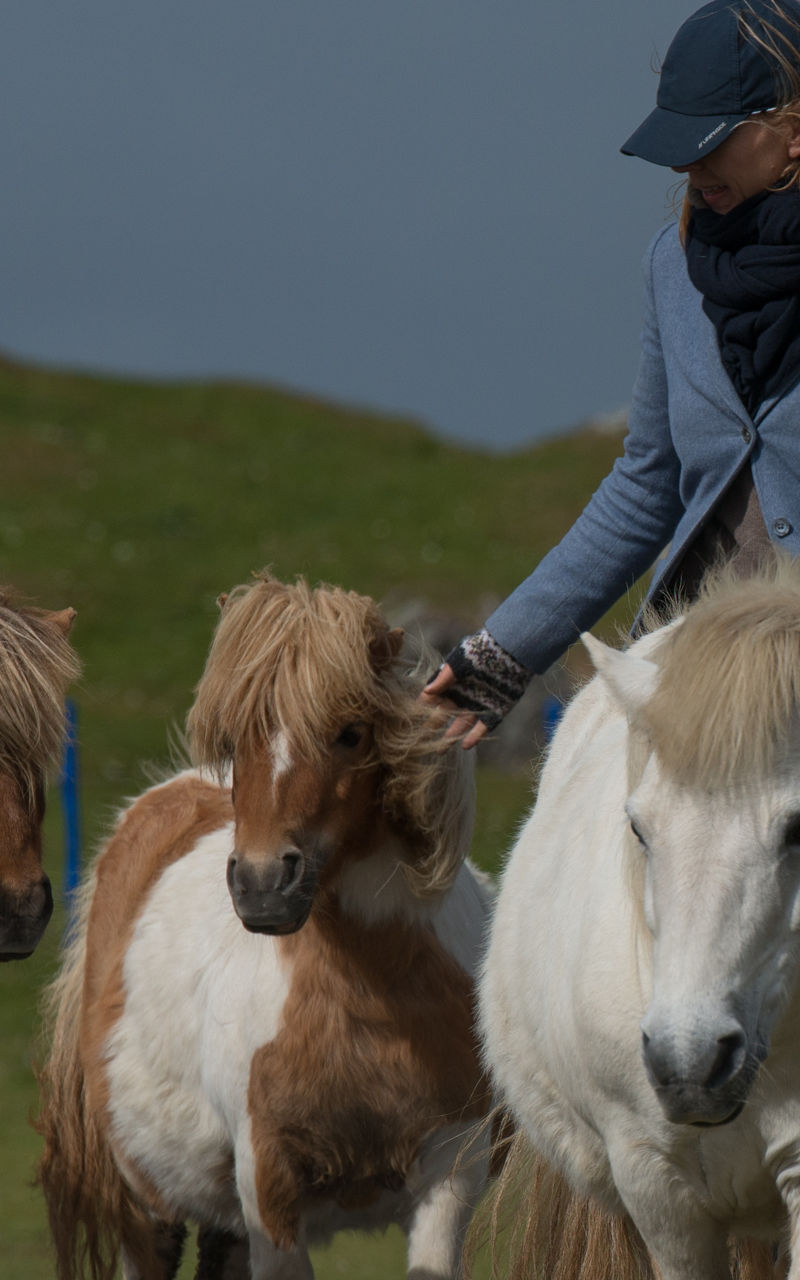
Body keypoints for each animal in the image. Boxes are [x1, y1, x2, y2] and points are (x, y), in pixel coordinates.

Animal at [37, 571, 493, 1280]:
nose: (261, 886)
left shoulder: (454, 1171)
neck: (370, 1007)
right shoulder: (269, 1188)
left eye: (352, 733)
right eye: (235, 737)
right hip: (146, 1205)